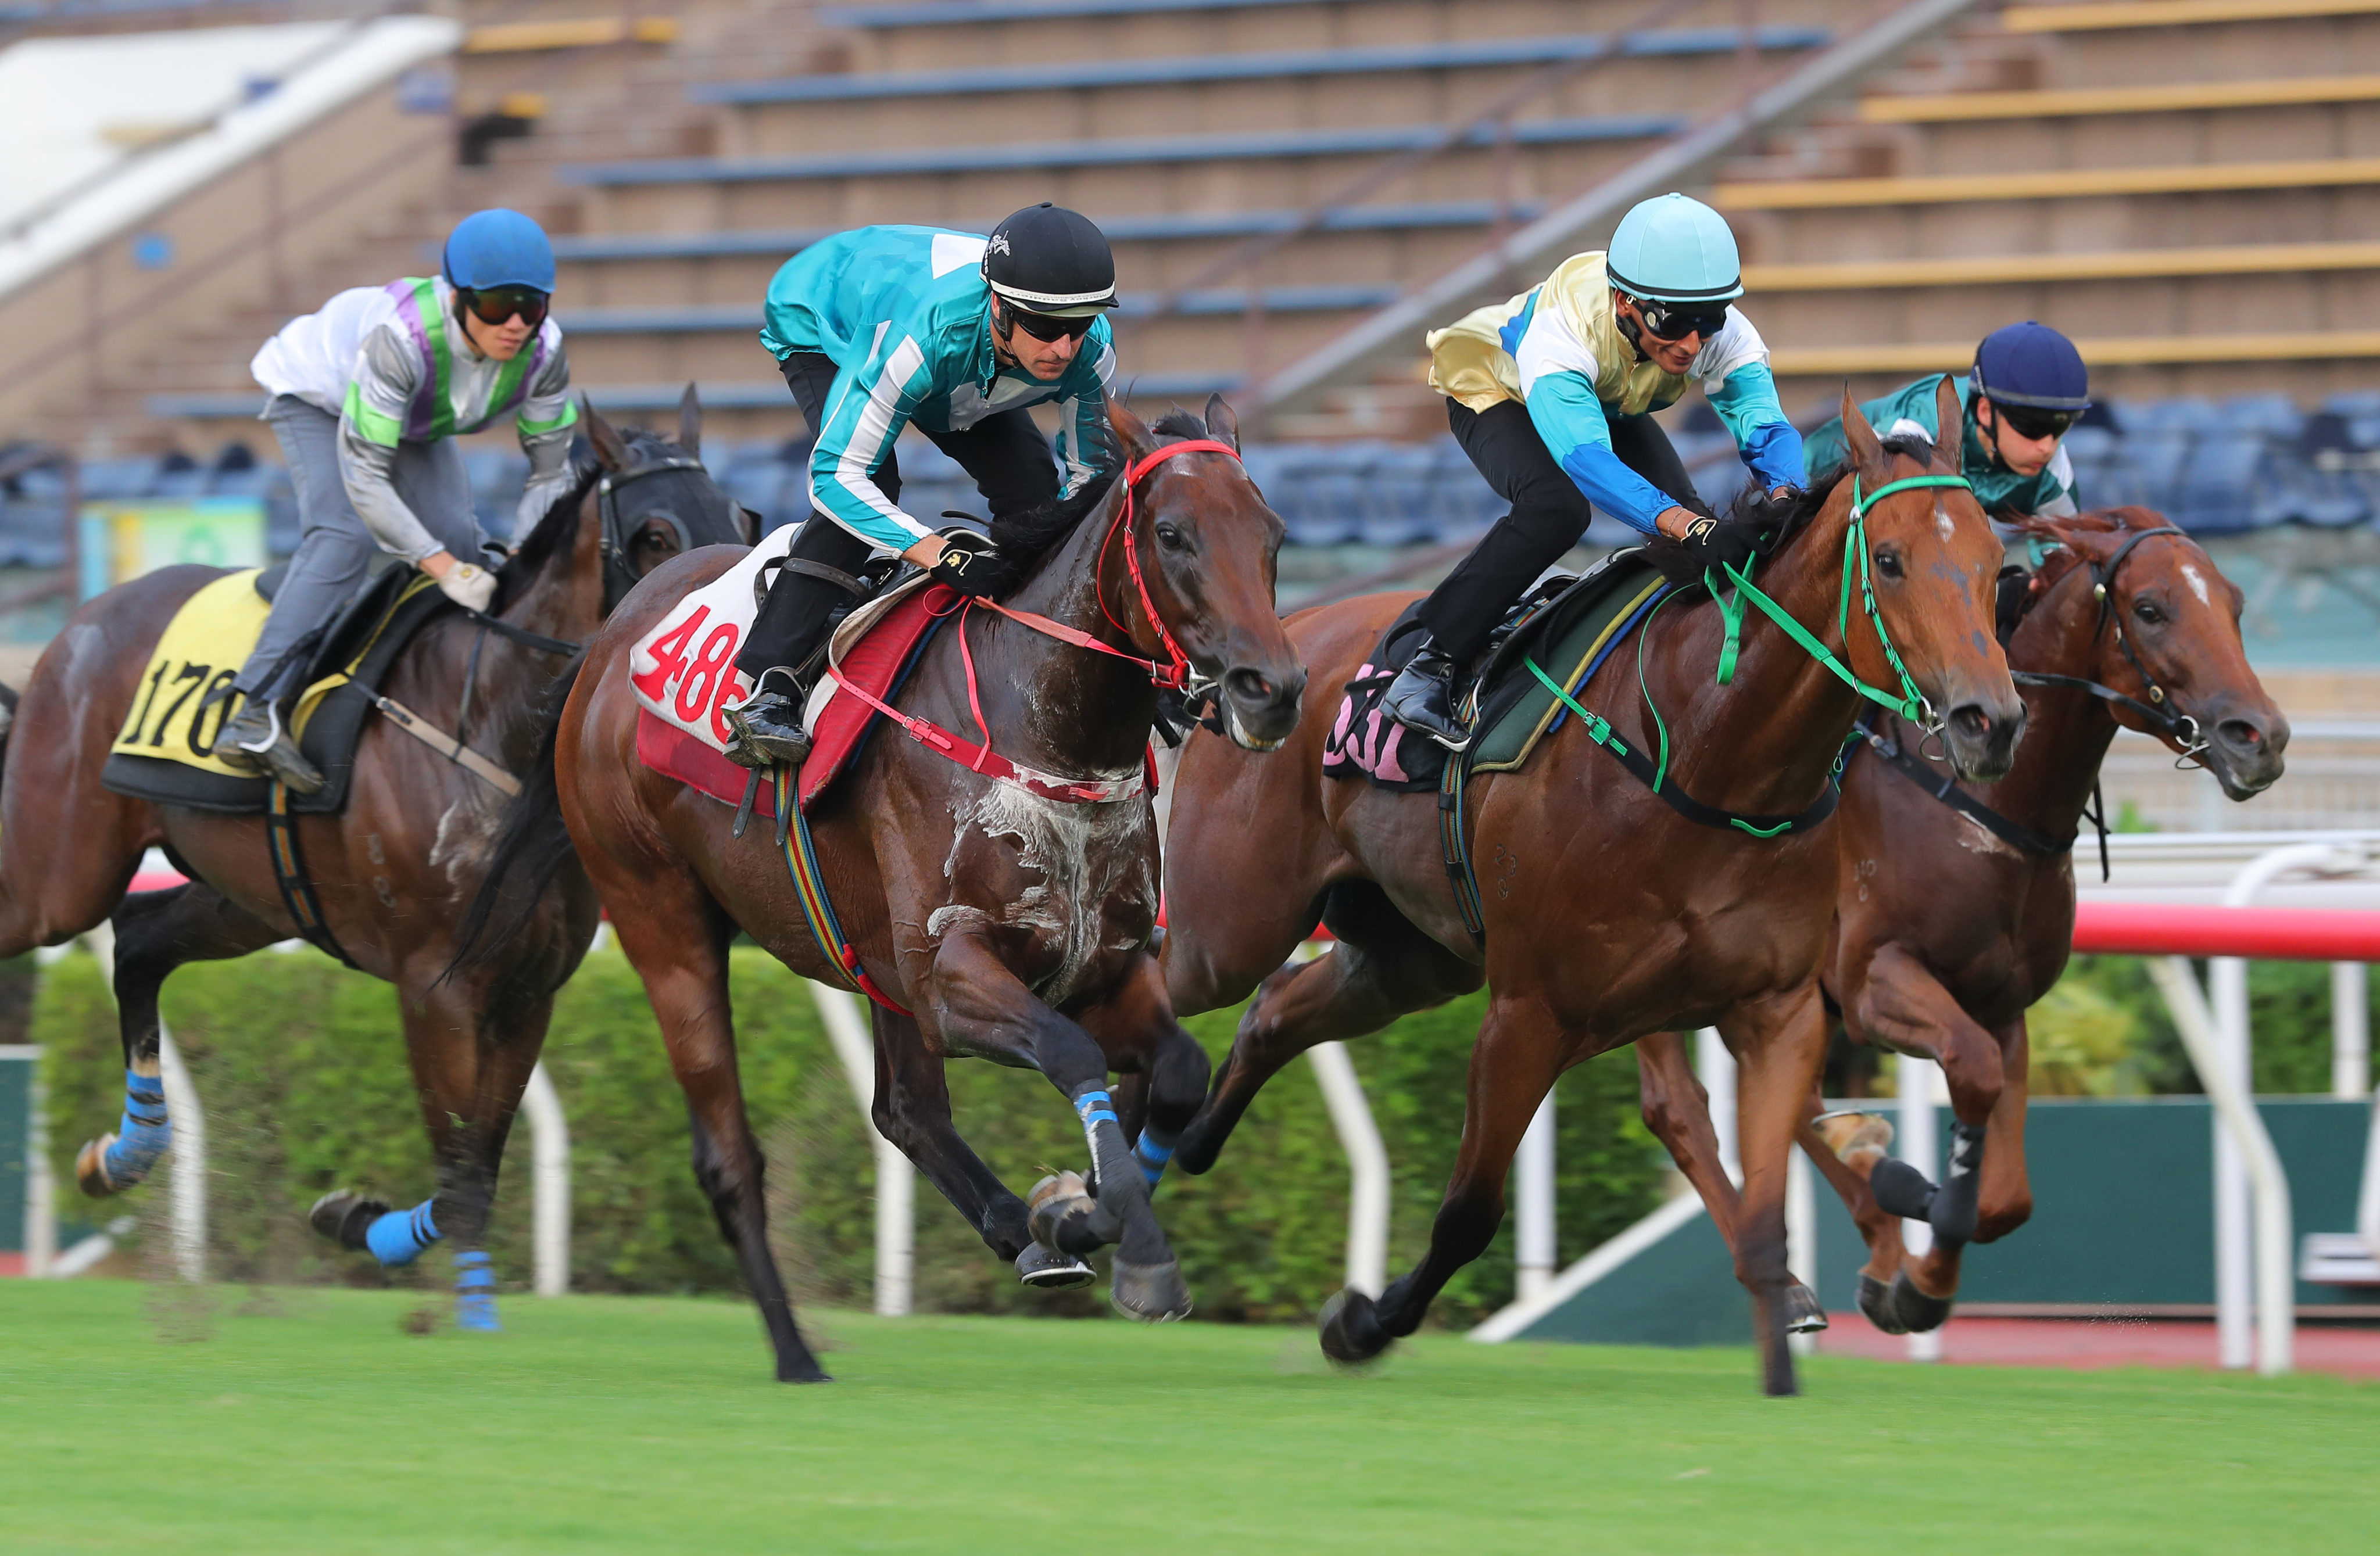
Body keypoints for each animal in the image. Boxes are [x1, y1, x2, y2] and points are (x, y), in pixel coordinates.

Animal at [0, 397, 742, 1322]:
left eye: (743, 519)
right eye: (654, 533)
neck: (490, 719)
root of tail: (70, 630)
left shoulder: (526, 987)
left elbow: (476, 1170)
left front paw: (357, 1220)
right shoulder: (434, 984)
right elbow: (459, 1170)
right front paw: (465, 1307)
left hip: (249, 896)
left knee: (137, 940)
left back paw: (125, 1154)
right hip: (56, 876)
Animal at [468, 402, 1304, 1389]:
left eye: (1273, 535)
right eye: (1172, 534)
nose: (1271, 689)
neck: (1046, 734)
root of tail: (606, 644)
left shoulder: (1100, 964)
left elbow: (1176, 1071)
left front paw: (1074, 1210)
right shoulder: (953, 975)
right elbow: (1068, 1052)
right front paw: (1123, 1242)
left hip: (873, 958)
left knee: (905, 1110)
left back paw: (1016, 1230)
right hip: (659, 916)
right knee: (727, 1151)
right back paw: (796, 1350)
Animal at [1161, 383, 2018, 1399]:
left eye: (1994, 559)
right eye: (1887, 559)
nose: (1988, 719)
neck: (1706, 751)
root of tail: (1271, 646)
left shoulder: (1775, 1009)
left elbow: (1766, 1204)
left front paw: (1788, 1355)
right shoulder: (1529, 1010)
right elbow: (1468, 1211)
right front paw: (1360, 1323)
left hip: (1411, 957)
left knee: (1275, 1010)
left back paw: (1182, 1144)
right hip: (1222, 928)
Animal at [1637, 507, 2285, 1332]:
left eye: (2235, 603)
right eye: (2150, 608)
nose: (2261, 737)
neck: (1981, 804)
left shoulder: (2001, 1005)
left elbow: (2004, 1197)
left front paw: (1909, 1270)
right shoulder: (1875, 981)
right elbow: (1968, 1079)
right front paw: (1912, 1244)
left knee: (1793, 1102)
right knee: (1680, 1108)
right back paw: (1795, 1281)